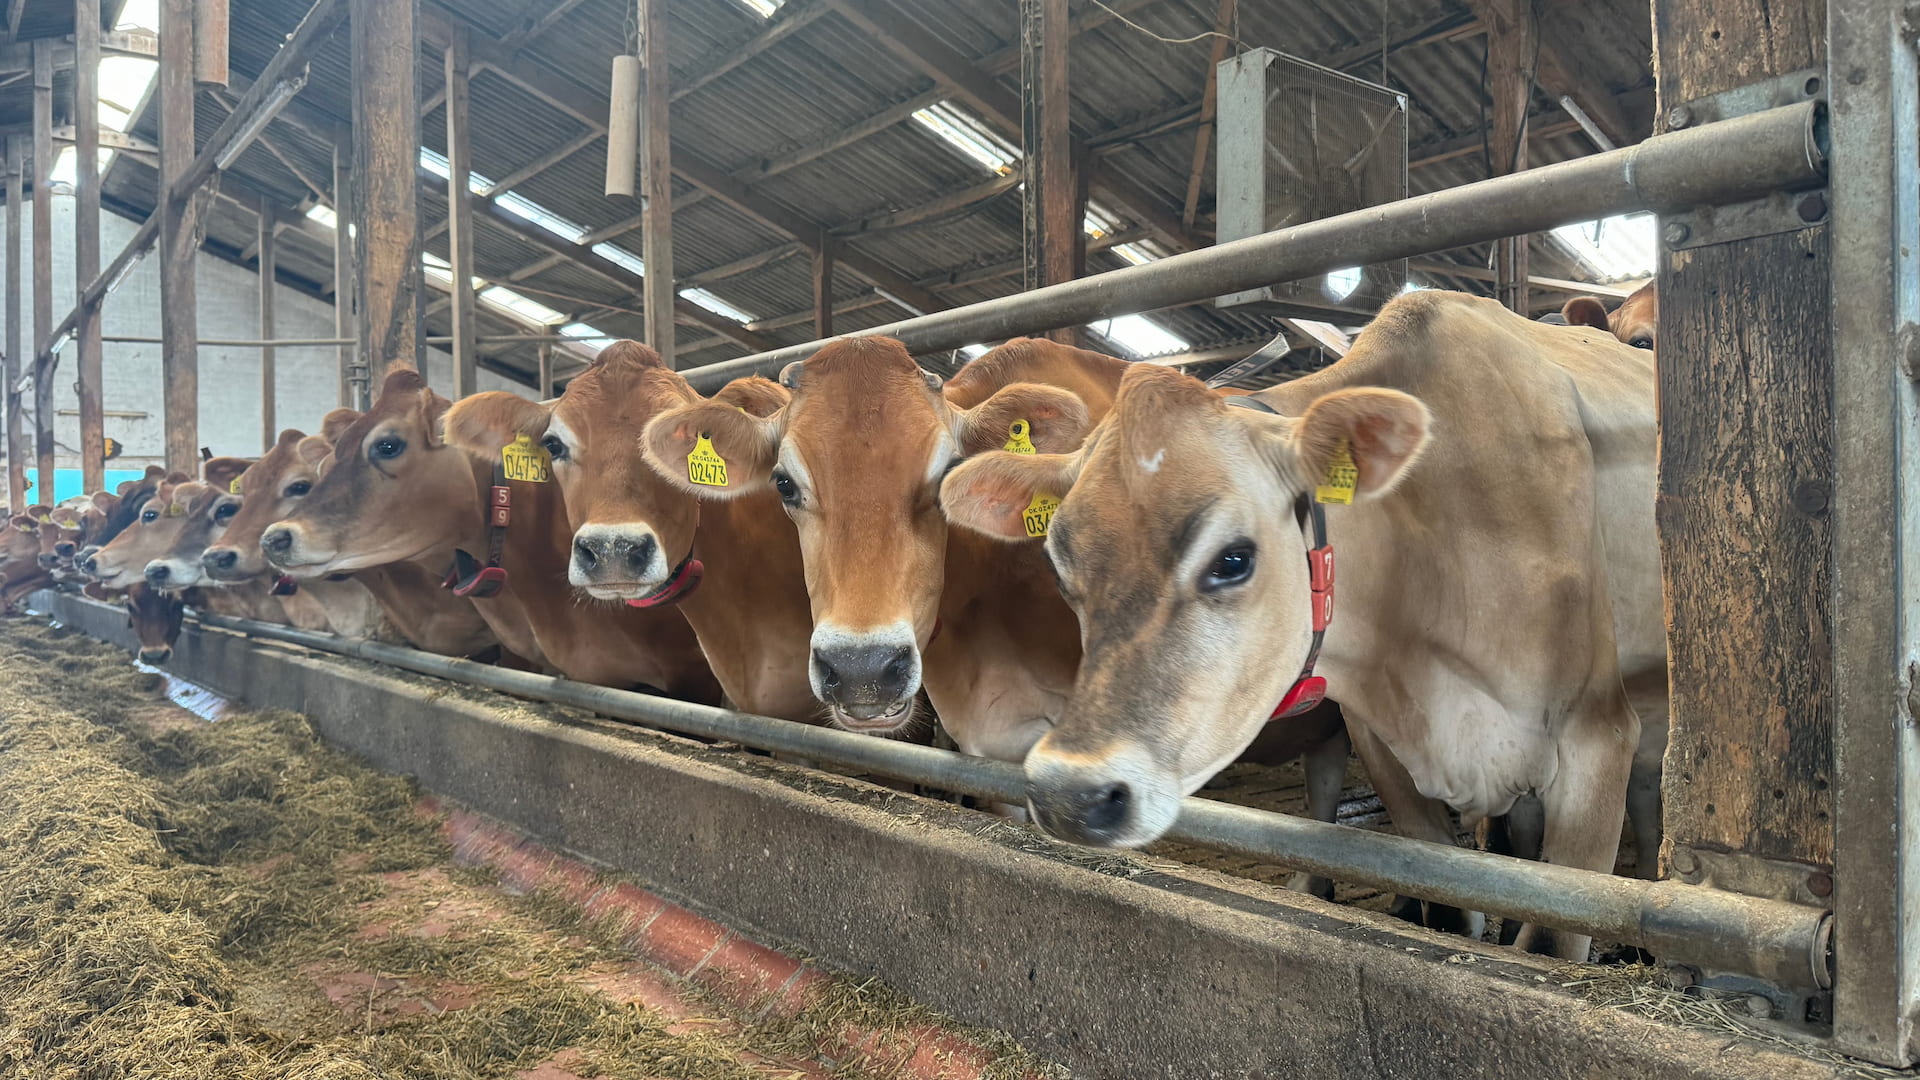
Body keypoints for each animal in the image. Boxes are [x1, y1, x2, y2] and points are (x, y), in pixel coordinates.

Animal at [936, 290, 1658, 953]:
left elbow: (1551, 937)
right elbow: (1452, 907)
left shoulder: (1598, 744)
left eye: (1233, 558)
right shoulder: (1387, 754)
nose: (1071, 794)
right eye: (1060, 567)